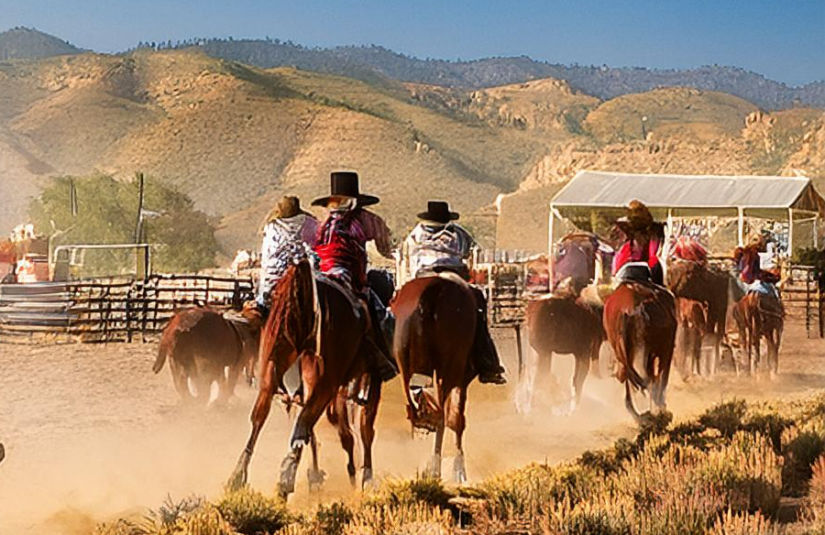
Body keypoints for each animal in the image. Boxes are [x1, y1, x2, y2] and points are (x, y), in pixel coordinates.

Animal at [228, 259, 383, 498]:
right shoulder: (361, 383)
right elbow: (361, 429)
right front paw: (362, 477)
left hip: (273, 370)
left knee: (261, 416)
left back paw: (240, 476)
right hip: (324, 381)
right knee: (308, 424)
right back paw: (288, 477)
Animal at [392, 274, 481, 483]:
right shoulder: (461, 378)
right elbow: (456, 419)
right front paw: (458, 467)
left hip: (405, 364)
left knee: (418, 405)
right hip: (449, 368)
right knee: (444, 415)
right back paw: (438, 467)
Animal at [603, 281, 677, 423]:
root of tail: (631, 310)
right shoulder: (666, 349)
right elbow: (662, 378)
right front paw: (662, 409)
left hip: (625, 355)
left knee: (633, 380)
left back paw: (640, 416)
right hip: (654, 351)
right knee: (651, 380)